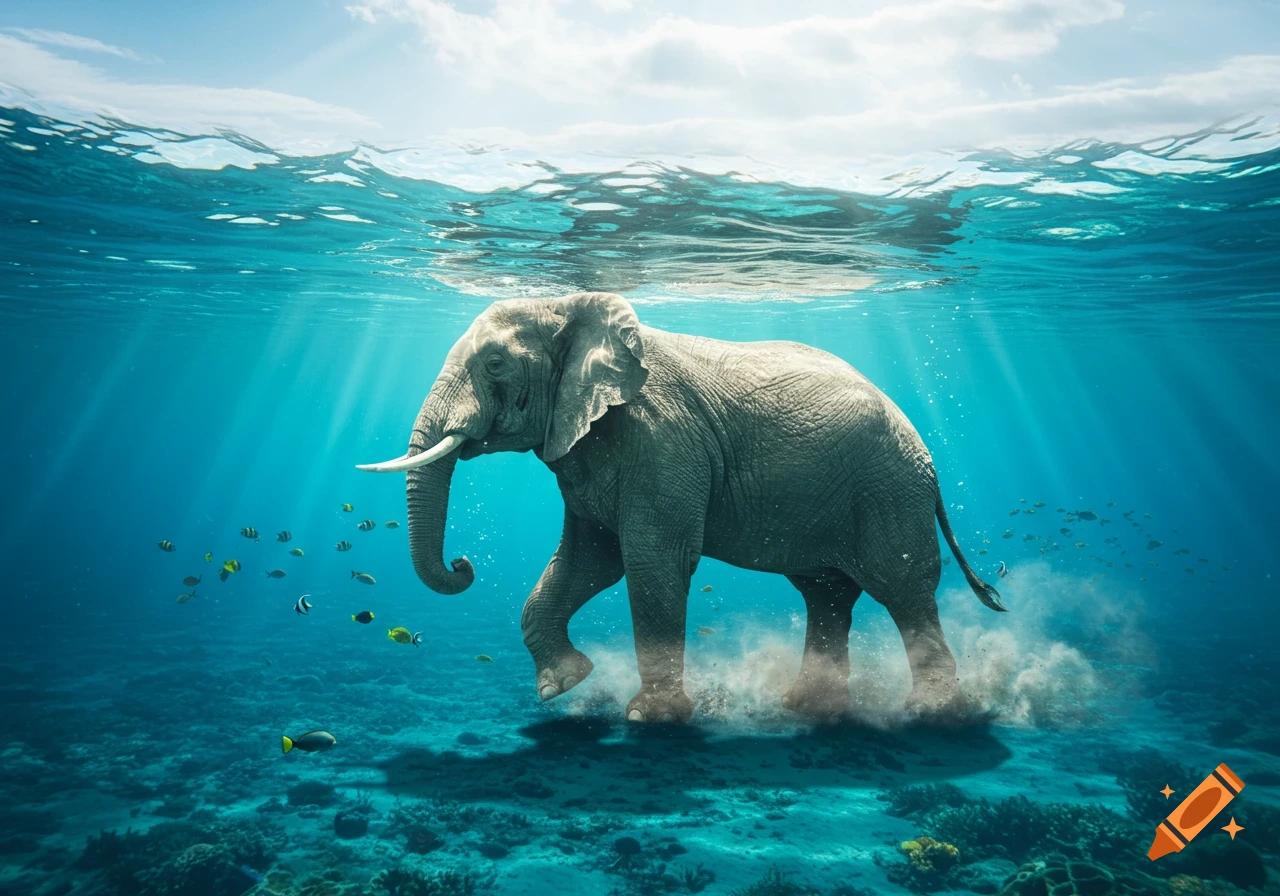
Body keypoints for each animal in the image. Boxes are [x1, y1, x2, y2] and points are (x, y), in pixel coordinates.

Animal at [359, 292, 1004, 723]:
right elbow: (590, 560)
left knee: (903, 586)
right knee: (826, 593)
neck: (567, 304)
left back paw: (931, 713)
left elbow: (651, 562)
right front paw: (562, 686)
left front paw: (650, 718)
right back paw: (807, 709)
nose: (464, 563)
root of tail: (926, 452)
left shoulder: (661, 441)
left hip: (889, 489)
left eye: (493, 364)